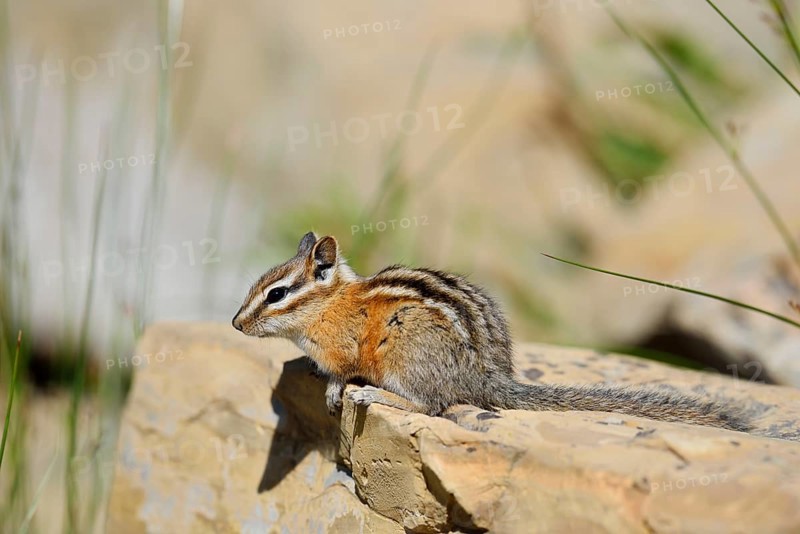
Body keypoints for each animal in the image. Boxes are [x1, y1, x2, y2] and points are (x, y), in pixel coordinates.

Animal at [232, 232, 750, 432]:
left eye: (277, 293)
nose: (236, 323)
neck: (331, 303)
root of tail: (485, 376)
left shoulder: (343, 349)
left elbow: (341, 372)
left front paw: (336, 390)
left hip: (404, 354)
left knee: (432, 405)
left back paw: (373, 395)